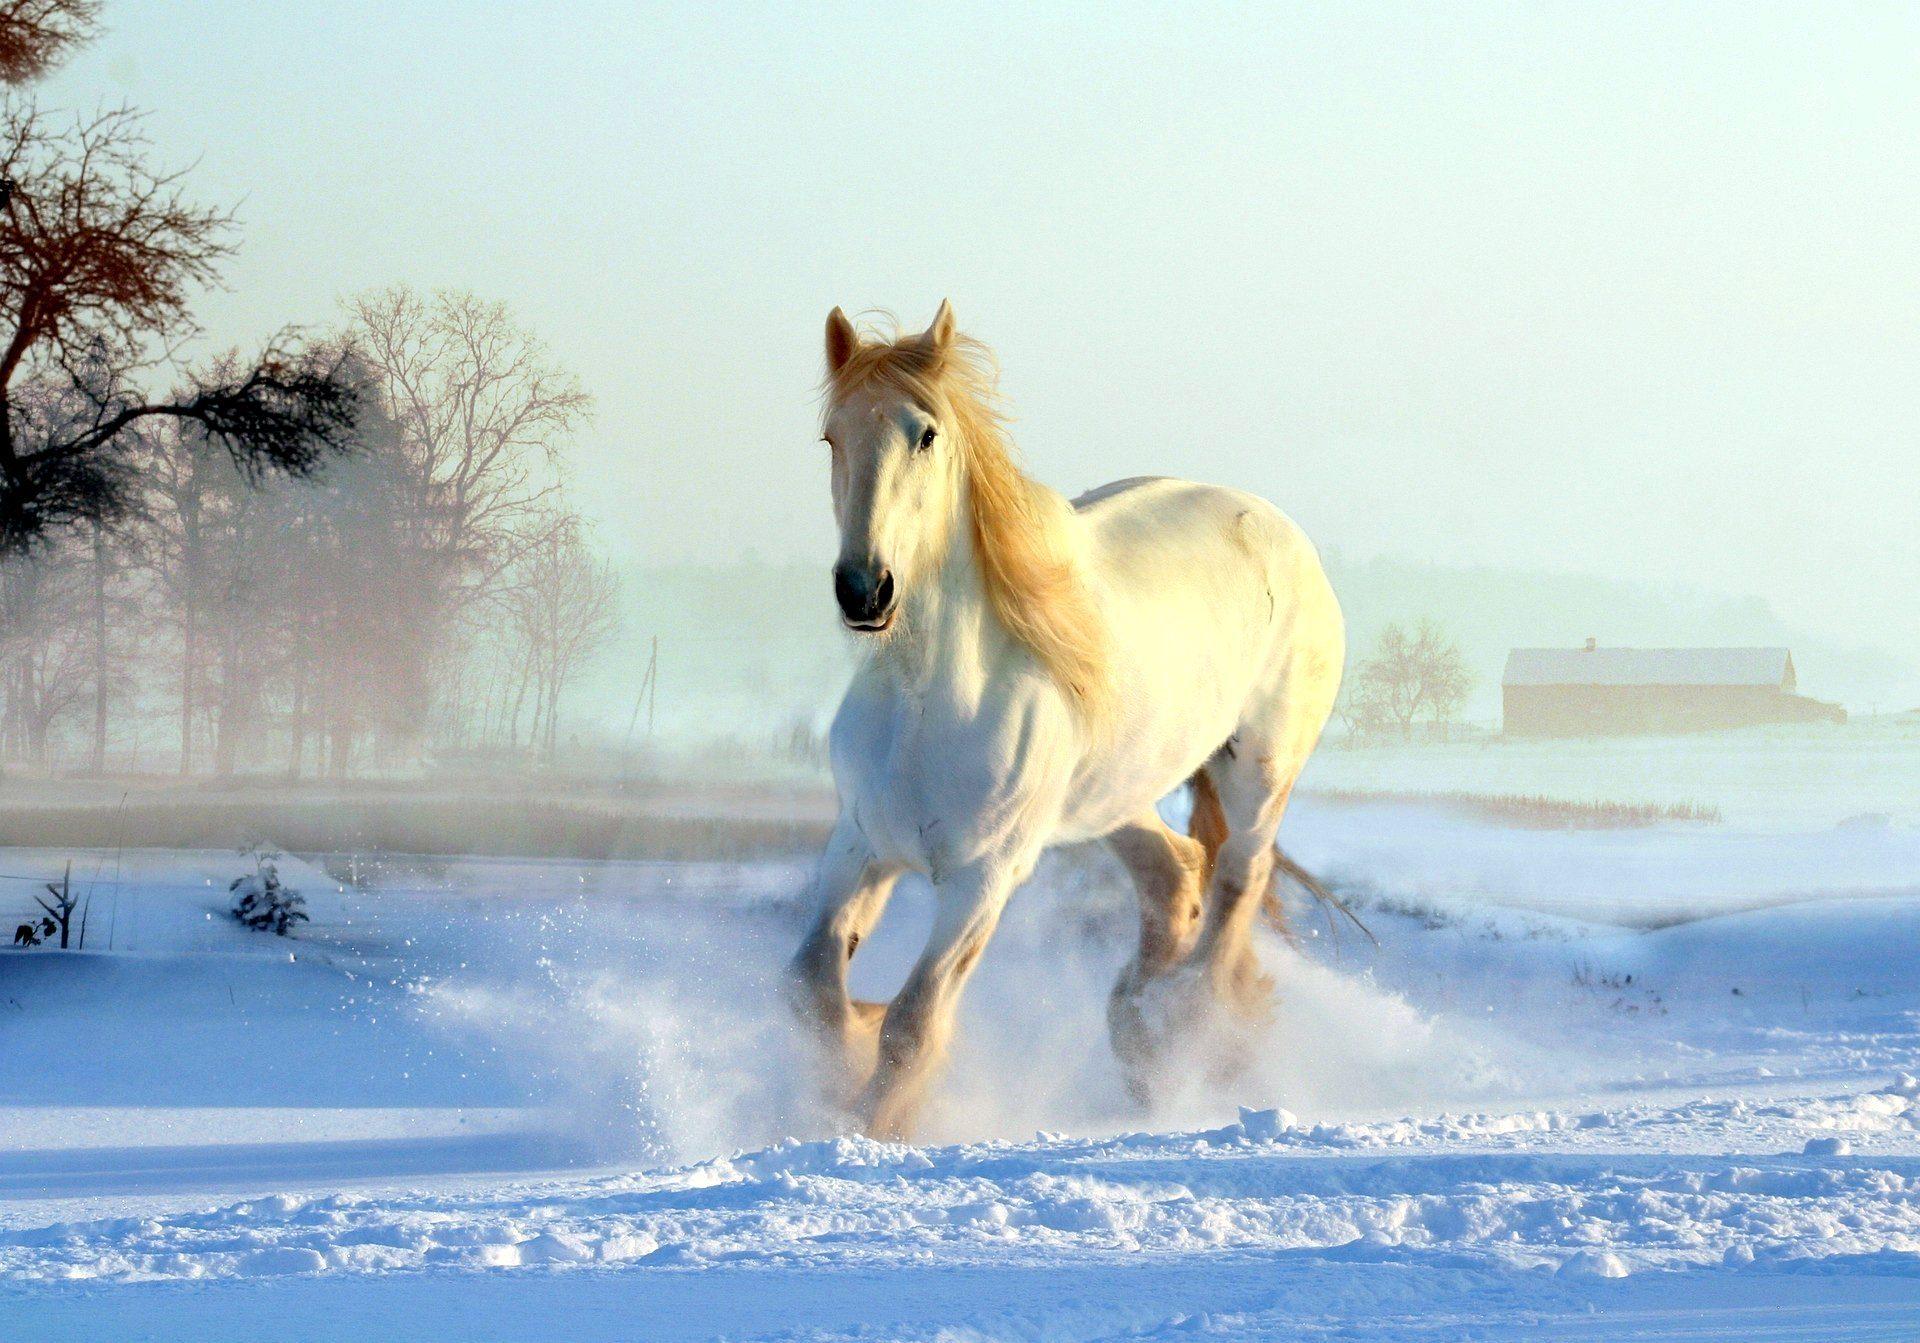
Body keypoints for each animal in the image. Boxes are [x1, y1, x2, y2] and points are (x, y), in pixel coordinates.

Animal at [787, 301, 1344, 1137]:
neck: (929, 701)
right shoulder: (861, 843)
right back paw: (1139, 1030)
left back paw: (1183, 1026)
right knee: (1176, 871)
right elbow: (813, 989)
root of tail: (1285, 533)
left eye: (926, 434)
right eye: (832, 437)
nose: (864, 589)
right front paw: (842, 1069)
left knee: (1237, 881)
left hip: (1259, 770)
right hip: (1111, 796)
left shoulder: (984, 876)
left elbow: (913, 1024)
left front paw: (874, 1123)